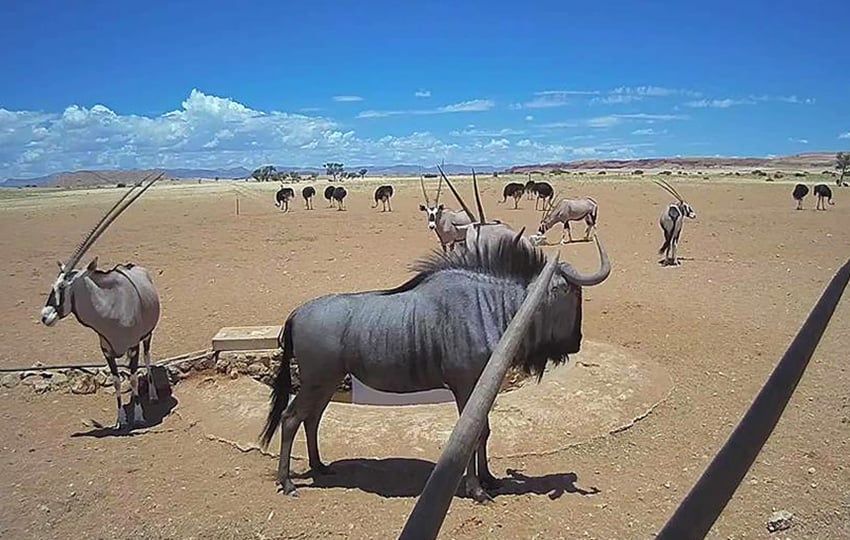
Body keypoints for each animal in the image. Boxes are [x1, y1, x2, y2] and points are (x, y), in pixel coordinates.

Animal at [39, 173, 163, 430]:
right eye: (52, 285)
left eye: (63, 287)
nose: (45, 316)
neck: (110, 309)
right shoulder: (107, 351)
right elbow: (117, 381)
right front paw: (120, 419)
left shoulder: (133, 346)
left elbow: (133, 377)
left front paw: (138, 415)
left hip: (147, 336)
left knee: (147, 360)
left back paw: (153, 395)